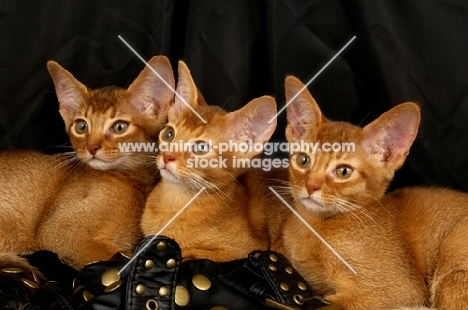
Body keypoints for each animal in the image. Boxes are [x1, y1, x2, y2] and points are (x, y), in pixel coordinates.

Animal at [0, 55, 174, 268]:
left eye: (119, 127)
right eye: (81, 126)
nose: (92, 147)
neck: (134, 181)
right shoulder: (59, 232)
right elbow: (114, 256)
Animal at [141, 61, 276, 262]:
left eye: (201, 148)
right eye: (169, 134)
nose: (167, 157)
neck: (176, 199)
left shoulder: (246, 249)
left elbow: (191, 253)